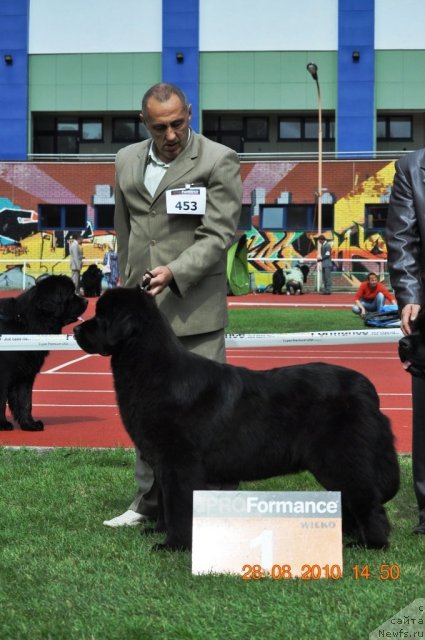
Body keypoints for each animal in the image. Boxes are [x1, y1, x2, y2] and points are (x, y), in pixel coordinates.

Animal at [0, 276, 87, 432]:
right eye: (70, 294)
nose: (87, 301)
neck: (26, 322)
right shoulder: (5, 373)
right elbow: (2, 400)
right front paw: (3, 424)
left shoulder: (26, 374)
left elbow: (25, 401)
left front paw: (29, 424)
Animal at [74, 286, 400, 552]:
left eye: (101, 317)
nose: (76, 330)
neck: (151, 369)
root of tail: (366, 387)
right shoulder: (164, 464)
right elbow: (166, 501)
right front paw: (158, 532)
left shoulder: (180, 463)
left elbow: (179, 505)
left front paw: (174, 545)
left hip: (341, 459)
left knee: (367, 500)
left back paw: (371, 544)